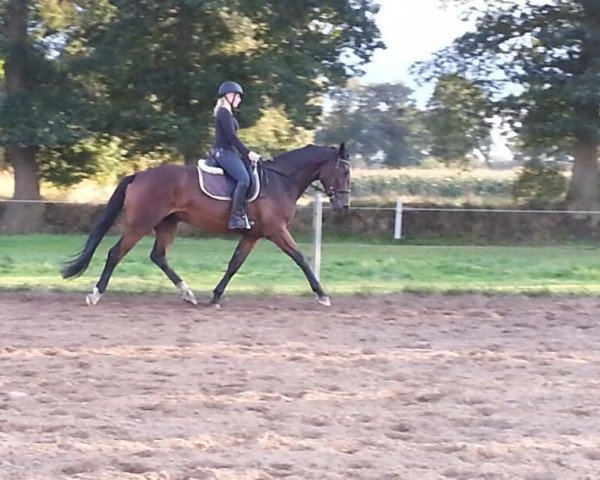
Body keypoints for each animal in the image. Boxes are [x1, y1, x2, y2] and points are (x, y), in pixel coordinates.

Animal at [59, 143, 352, 308]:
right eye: (345, 171)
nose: (344, 206)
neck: (281, 181)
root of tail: (139, 175)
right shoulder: (276, 231)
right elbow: (301, 258)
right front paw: (322, 295)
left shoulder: (253, 235)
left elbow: (234, 264)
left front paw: (216, 295)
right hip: (141, 223)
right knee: (115, 254)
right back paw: (96, 294)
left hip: (167, 224)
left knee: (158, 256)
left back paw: (188, 294)